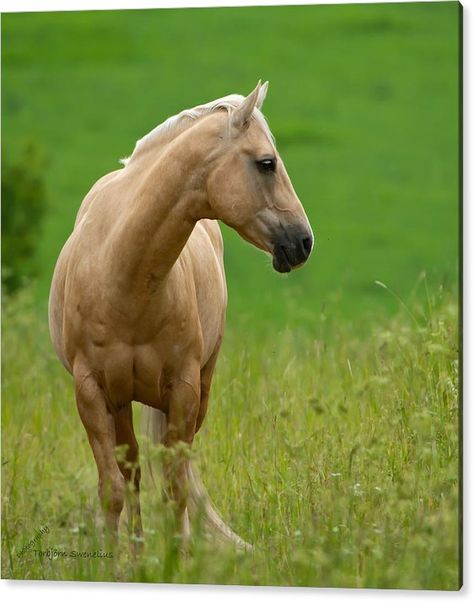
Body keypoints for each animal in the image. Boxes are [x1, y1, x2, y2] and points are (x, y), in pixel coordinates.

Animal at [48, 81, 314, 548]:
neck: (123, 276)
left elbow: (175, 490)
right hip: (121, 400)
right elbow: (113, 488)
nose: (304, 241)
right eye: (267, 163)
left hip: (196, 392)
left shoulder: (184, 390)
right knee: (133, 471)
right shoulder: (91, 392)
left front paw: (178, 556)